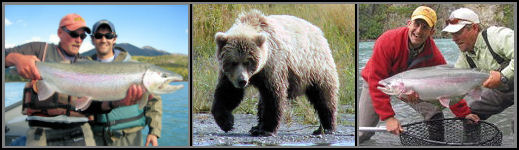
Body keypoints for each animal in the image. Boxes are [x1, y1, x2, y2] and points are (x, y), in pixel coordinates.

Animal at [211, 9, 342, 136]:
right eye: (233, 62)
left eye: (247, 62)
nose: (242, 81)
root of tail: (318, 31)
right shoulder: (229, 75)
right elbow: (228, 92)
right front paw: (226, 122)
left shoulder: (273, 65)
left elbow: (273, 95)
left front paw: (267, 130)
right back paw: (256, 127)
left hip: (315, 66)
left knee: (324, 95)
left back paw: (326, 127)